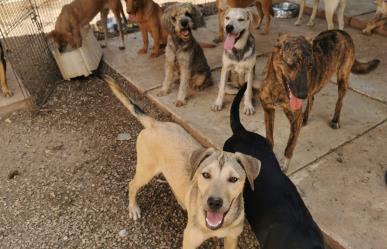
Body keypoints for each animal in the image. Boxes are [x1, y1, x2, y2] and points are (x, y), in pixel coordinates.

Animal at [101, 74, 262, 249]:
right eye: (205, 175)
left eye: (233, 179)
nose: (214, 203)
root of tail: (156, 123)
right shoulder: (189, 240)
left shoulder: (232, 239)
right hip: (145, 170)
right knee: (132, 184)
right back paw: (133, 208)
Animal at [260, 29, 380, 171]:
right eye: (291, 64)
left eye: (310, 65)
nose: (302, 95)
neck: (278, 87)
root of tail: (342, 31)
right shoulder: (268, 111)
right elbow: (269, 138)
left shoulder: (295, 118)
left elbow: (290, 145)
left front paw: (284, 163)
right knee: (312, 98)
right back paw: (306, 117)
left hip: (342, 78)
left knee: (339, 102)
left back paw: (335, 120)